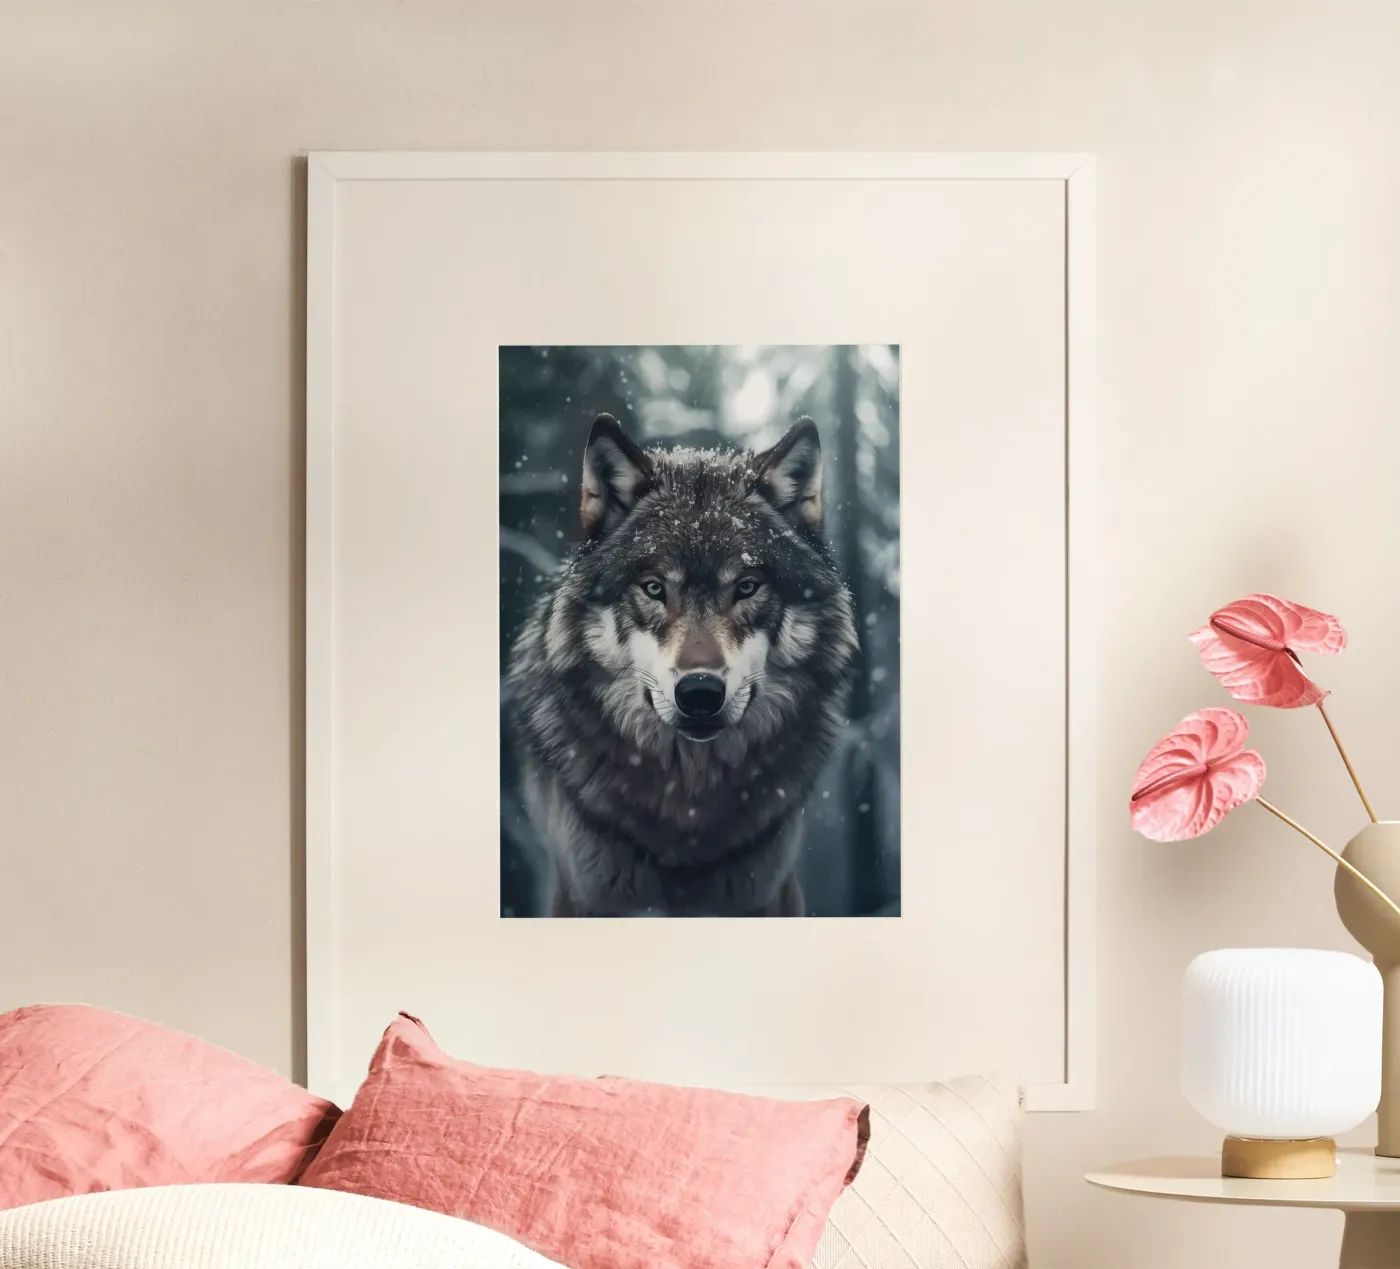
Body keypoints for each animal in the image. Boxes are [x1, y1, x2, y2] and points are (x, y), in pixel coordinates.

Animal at [504, 412, 859, 917]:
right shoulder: (583, 893)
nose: (700, 692)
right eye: (654, 588)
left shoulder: (767, 891)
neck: (688, 804)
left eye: (747, 587)